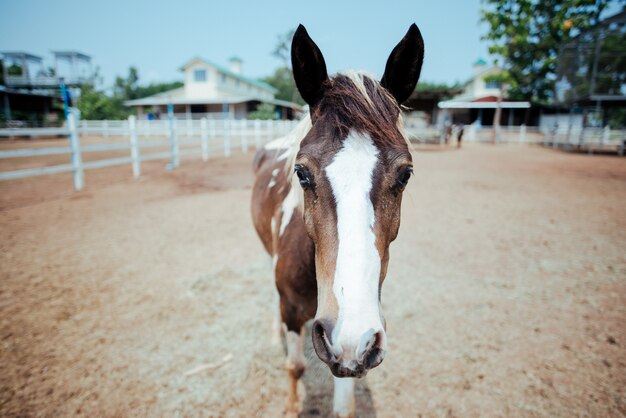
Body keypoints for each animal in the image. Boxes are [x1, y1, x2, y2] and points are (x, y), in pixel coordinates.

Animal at [251, 23, 422, 418]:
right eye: (301, 172)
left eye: (405, 174)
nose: (351, 333)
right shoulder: (295, 310)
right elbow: (295, 365)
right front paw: (291, 406)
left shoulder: (350, 349)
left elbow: (344, 401)